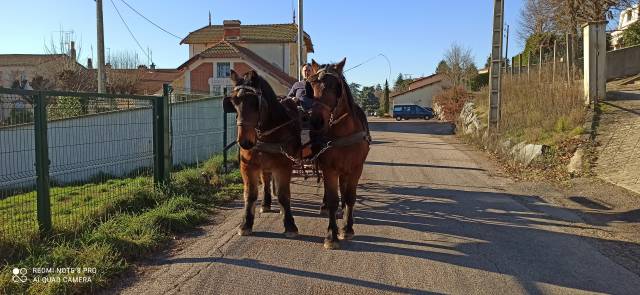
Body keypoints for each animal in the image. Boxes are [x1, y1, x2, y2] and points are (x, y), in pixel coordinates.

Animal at [225, 69, 302, 238]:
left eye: (255, 102)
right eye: (234, 102)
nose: (245, 142)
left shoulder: (283, 166)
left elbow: (283, 195)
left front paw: (289, 224)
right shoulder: (247, 166)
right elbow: (250, 195)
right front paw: (246, 224)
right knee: (266, 181)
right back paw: (266, 203)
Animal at [308, 58, 372, 250]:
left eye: (335, 86)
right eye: (312, 84)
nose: (316, 121)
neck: (344, 133)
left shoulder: (356, 168)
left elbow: (350, 197)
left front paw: (347, 228)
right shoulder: (329, 168)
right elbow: (332, 199)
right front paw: (331, 235)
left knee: (344, 191)